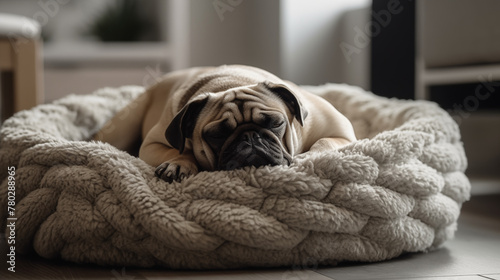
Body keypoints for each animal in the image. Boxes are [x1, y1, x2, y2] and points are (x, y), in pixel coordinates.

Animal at [93, 65, 356, 183]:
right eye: (217, 135)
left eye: (275, 123)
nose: (249, 137)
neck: (231, 82)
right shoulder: (152, 144)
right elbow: (181, 151)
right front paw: (179, 164)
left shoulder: (340, 131)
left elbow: (325, 142)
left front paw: (309, 156)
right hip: (123, 127)